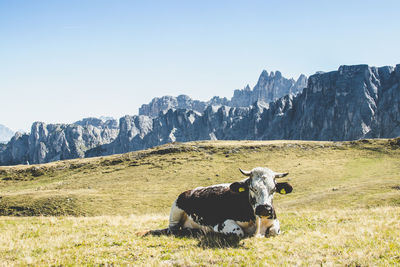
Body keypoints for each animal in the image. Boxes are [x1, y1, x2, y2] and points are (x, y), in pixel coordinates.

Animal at [142, 168, 292, 239]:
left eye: (274, 189)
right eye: (252, 187)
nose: (264, 209)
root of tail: (191, 190)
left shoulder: (274, 220)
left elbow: (274, 231)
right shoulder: (221, 223)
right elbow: (239, 232)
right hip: (175, 212)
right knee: (172, 230)